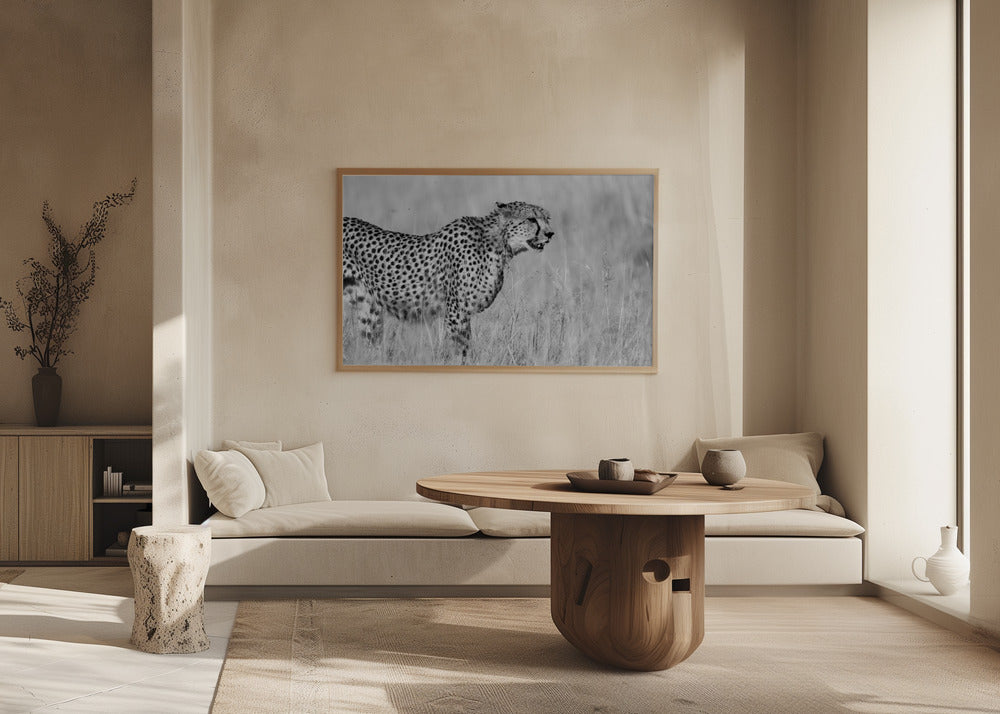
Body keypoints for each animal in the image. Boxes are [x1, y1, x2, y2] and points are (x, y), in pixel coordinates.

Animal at [342, 201, 554, 359]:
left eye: (547, 219)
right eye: (531, 219)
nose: (550, 234)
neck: (497, 243)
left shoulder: (463, 313)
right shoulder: (456, 312)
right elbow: (459, 350)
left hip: (369, 308)